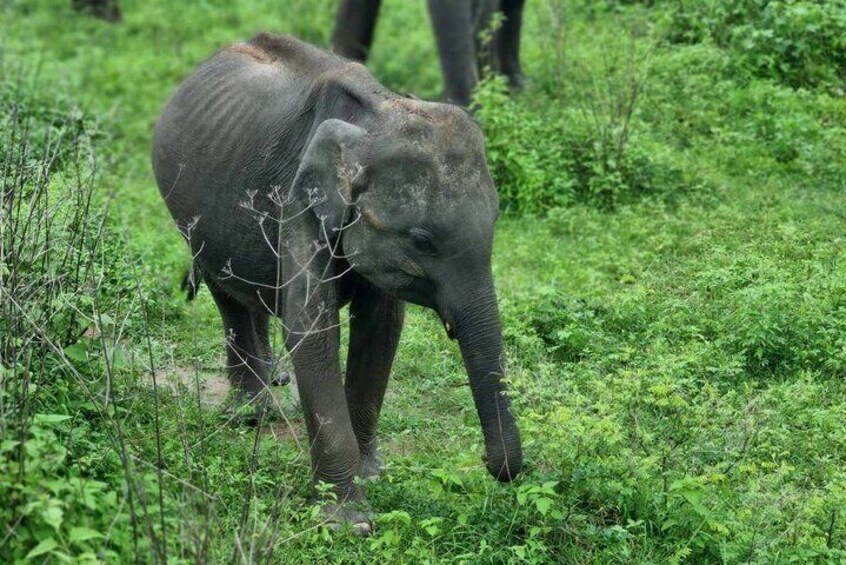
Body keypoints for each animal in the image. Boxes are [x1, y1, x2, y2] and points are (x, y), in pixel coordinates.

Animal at [153, 33, 524, 532]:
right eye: (422, 240)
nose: (489, 465)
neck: (375, 117)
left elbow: (381, 328)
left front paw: (371, 474)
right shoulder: (300, 200)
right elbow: (311, 330)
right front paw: (348, 520)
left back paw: (275, 381)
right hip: (188, 212)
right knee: (223, 289)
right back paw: (253, 413)